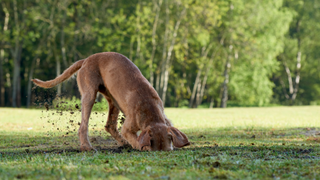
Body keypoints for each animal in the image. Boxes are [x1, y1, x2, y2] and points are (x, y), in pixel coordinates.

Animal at [31, 51, 190, 150]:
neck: (150, 110)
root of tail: (86, 59)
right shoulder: (128, 127)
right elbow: (136, 141)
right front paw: (139, 146)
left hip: (113, 101)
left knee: (110, 126)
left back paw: (123, 143)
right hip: (89, 95)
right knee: (83, 126)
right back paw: (87, 147)